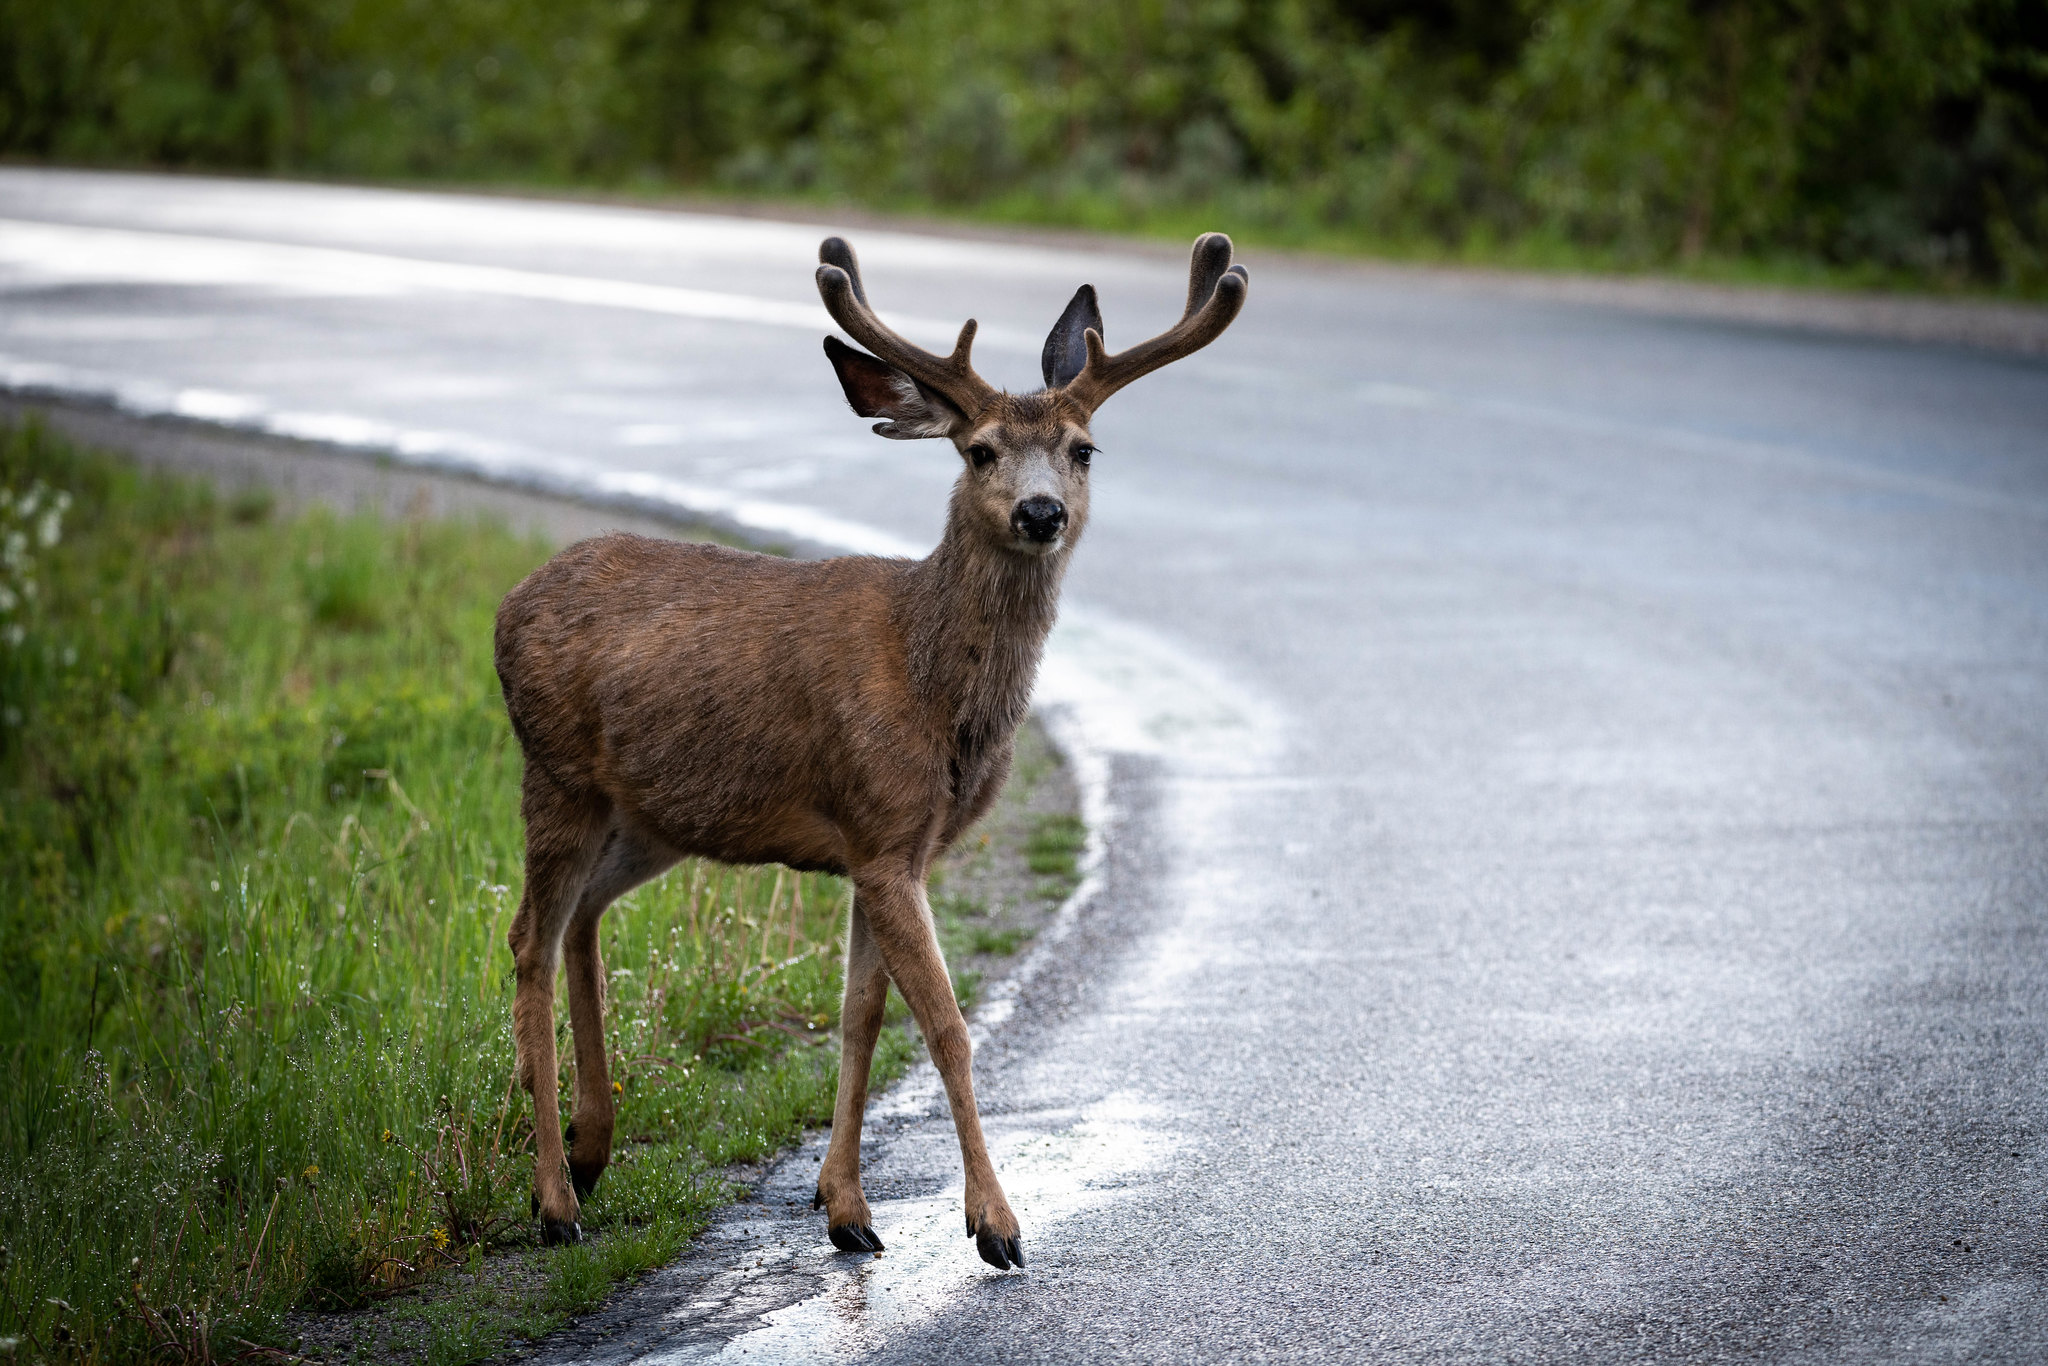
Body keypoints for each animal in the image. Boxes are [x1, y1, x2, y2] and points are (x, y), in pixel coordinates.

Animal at [495, 232, 1245, 1269]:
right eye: (980, 451)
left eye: (1083, 449)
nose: (1041, 513)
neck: (933, 685)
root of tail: (505, 608)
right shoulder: (884, 832)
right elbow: (946, 1025)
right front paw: (996, 1226)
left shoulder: (890, 846)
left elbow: (863, 1016)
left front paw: (845, 1208)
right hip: (556, 771)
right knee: (527, 935)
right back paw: (555, 1200)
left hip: (648, 815)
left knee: (580, 921)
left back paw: (594, 1146)